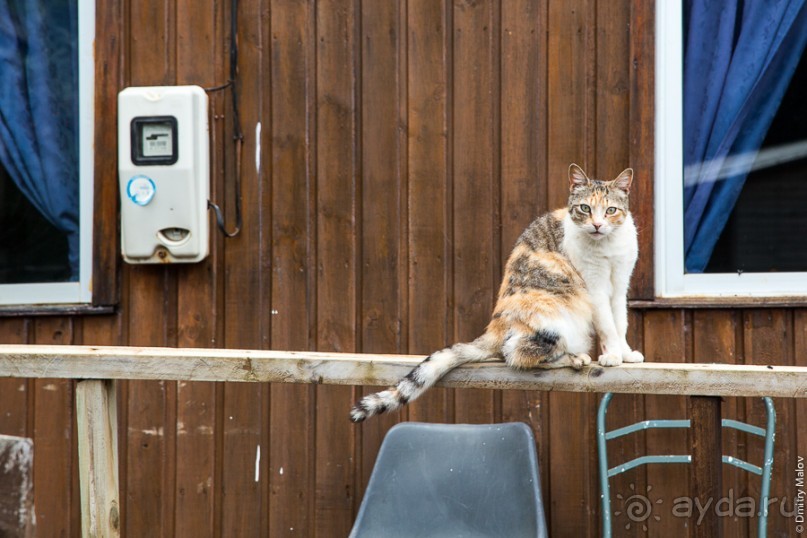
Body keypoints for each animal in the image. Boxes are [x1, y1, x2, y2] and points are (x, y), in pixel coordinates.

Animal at [350, 161, 640, 420]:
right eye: (585, 208)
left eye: (611, 210)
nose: (597, 225)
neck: (608, 246)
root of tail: (494, 326)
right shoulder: (595, 287)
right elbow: (608, 325)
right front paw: (612, 356)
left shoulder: (620, 284)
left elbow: (621, 323)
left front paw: (625, 354)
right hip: (554, 318)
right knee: (515, 353)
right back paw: (576, 358)